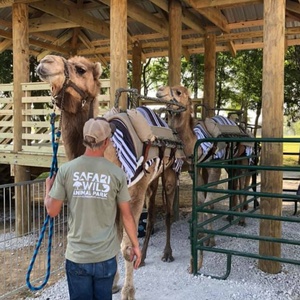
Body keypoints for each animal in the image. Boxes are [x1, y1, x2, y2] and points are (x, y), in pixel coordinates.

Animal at [37, 54, 183, 300]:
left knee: (170, 208)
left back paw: (169, 253)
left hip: (170, 170)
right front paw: (113, 283)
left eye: (80, 69)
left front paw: (128, 293)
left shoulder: (130, 194)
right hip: (150, 181)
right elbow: (111, 239)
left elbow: (127, 247)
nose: (44, 62)